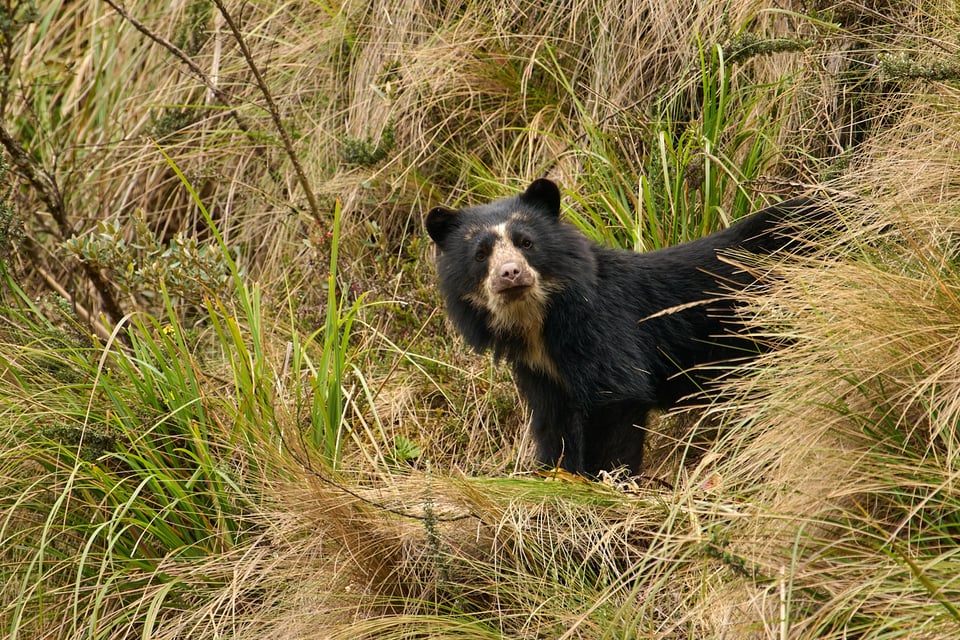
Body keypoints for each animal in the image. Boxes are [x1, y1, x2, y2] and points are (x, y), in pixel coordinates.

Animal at [428, 179, 824, 476]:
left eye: (526, 243)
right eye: (481, 254)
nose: (510, 274)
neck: (539, 320)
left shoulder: (601, 326)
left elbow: (616, 398)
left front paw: (604, 482)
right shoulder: (538, 369)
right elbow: (553, 422)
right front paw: (555, 473)